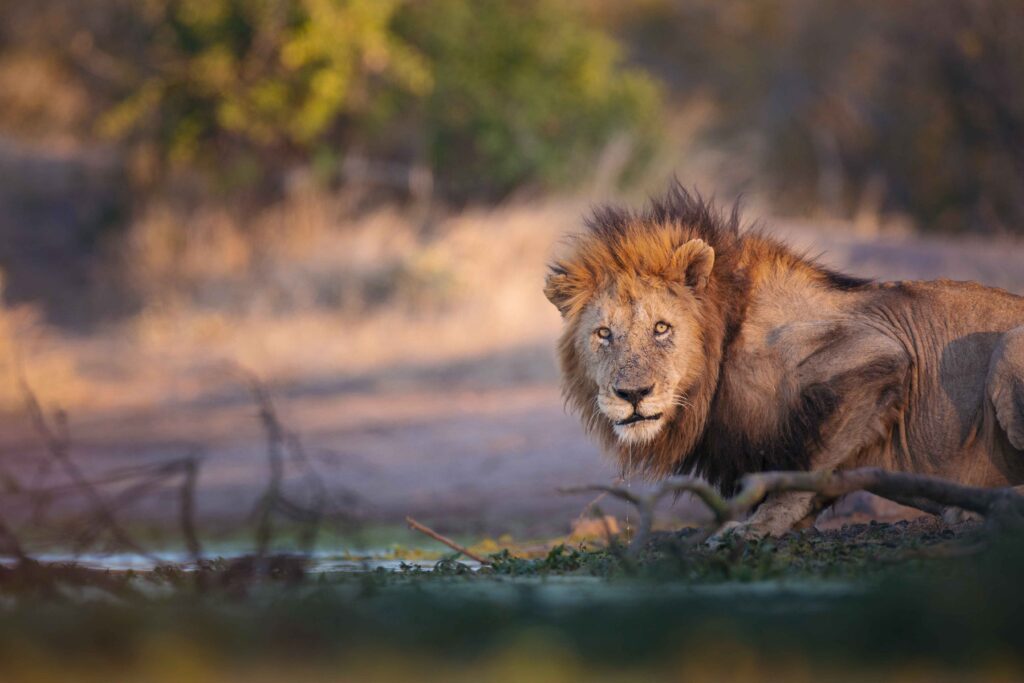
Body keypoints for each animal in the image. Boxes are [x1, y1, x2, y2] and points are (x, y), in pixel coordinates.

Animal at [544, 184, 1024, 539]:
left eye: (662, 328)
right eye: (603, 334)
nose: (633, 394)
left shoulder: (879, 351)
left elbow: (804, 466)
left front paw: (758, 526)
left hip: (1007, 348)